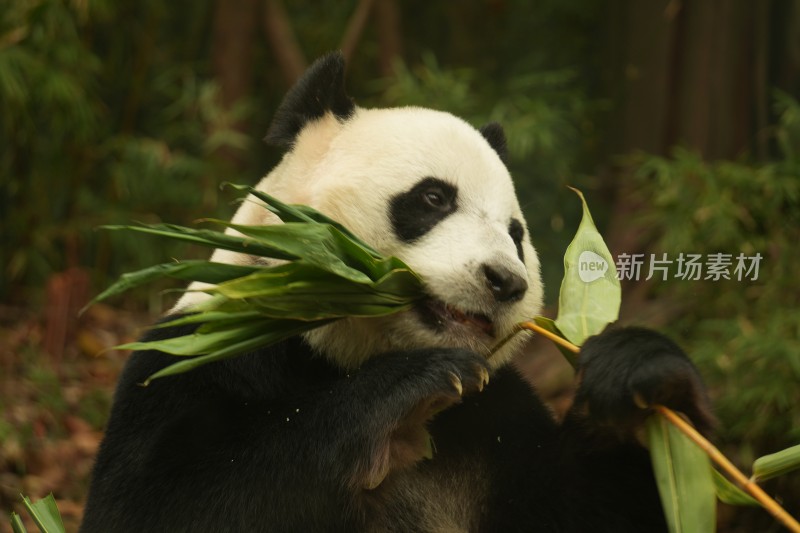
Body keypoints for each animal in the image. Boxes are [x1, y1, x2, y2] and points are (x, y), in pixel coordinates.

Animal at [81, 51, 712, 532]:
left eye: (515, 233)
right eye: (434, 198)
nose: (506, 282)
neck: (339, 351)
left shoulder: (497, 418)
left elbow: (591, 512)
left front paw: (639, 378)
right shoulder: (198, 358)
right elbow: (164, 503)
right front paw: (410, 390)